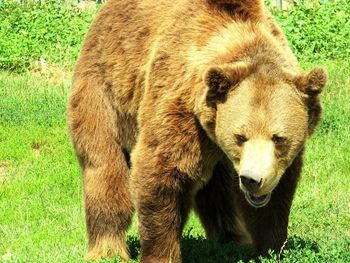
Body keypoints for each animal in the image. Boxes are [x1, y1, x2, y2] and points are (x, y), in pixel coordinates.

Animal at [69, 0, 328, 262]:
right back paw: (107, 248)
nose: (252, 179)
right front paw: (161, 253)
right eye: (240, 136)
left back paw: (232, 240)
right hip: (104, 92)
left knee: (219, 190)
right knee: (104, 169)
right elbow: (161, 173)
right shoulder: (179, 105)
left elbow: (276, 197)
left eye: (279, 138)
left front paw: (272, 248)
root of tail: (103, 13)